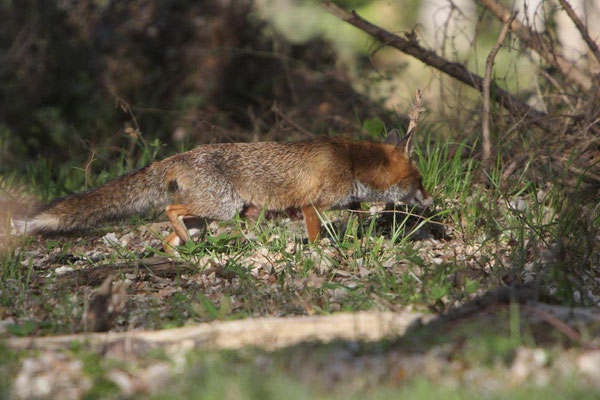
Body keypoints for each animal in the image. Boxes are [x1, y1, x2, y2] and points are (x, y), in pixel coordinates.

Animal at [12, 130, 432, 250]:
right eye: (421, 182)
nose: (431, 200)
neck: (352, 162)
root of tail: (181, 154)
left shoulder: (344, 201)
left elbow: (357, 215)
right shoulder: (312, 205)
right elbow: (317, 235)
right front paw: (321, 255)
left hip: (209, 214)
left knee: (169, 235)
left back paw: (183, 254)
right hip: (222, 209)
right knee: (170, 211)